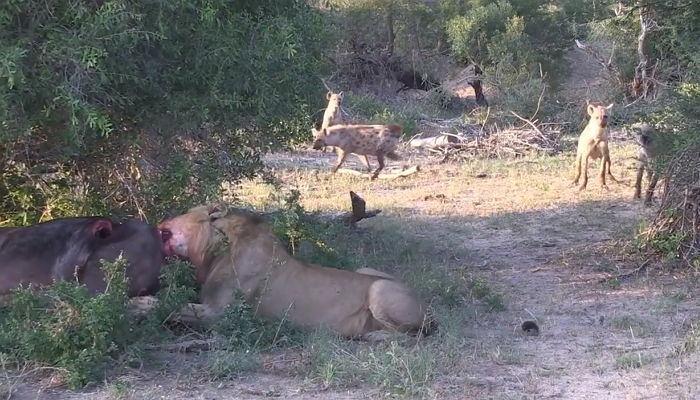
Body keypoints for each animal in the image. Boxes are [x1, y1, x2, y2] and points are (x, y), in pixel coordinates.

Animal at [137, 206, 434, 340]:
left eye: (184, 213)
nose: (159, 221)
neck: (217, 252)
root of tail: (428, 310)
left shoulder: (219, 315)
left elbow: (170, 305)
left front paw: (138, 305)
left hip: (379, 289)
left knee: (410, 334)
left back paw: (371, 336)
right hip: (368, 272)